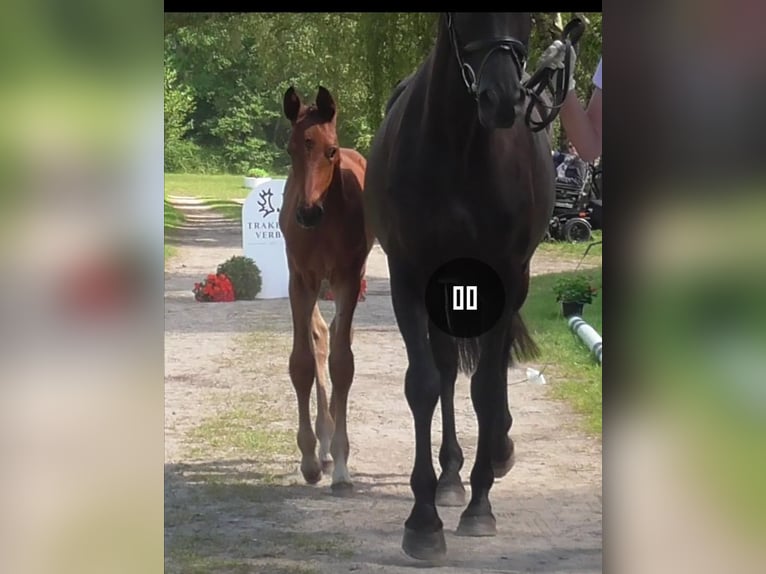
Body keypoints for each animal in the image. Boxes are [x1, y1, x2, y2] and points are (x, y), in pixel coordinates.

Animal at [368, 13, 560, 564]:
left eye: (529, 16)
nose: (502, 100)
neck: (462, 150)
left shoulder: (506, 275)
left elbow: (486, 386)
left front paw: (480, 507)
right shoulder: (410, 276)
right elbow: (425, 383)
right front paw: (424, 521)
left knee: (489, 370)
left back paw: (495, 453)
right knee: (449, 369)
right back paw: (450, 476)